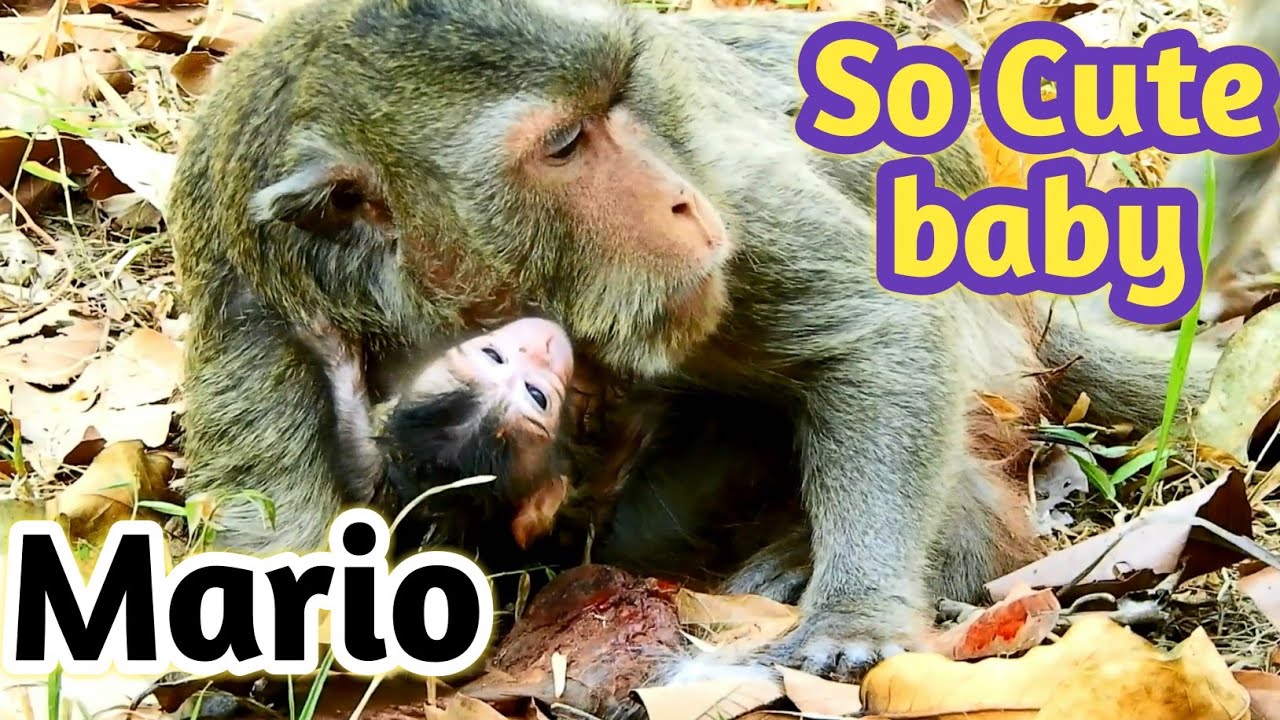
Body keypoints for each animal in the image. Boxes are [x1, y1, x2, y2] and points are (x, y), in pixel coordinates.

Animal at [168, 0, 1226, 688]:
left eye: (617, 107)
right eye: (564, 145)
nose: (677, 202)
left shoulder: (714, 183)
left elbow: (879, 327)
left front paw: (852, 611)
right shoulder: (255, 288)